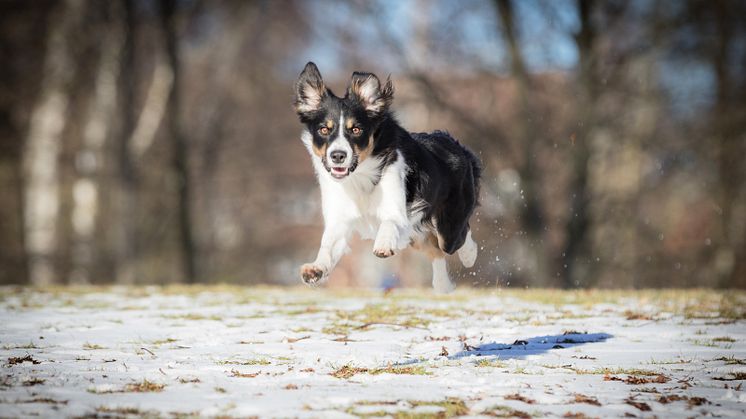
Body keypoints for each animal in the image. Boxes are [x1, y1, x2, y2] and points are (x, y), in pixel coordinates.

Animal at [290, 63, 476, 292]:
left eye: (356, 129)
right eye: (324, 129)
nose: (338, 156)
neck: (358, 176)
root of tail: (460, 148)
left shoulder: (400, 208)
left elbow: (390, 221)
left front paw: (383, 244)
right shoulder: (339, 215)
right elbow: (328, 243)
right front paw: (316, 268)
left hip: (448, 224)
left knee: (454, 239)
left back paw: (469, 256)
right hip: (418, 234)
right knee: (436, 250)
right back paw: (442, 286)